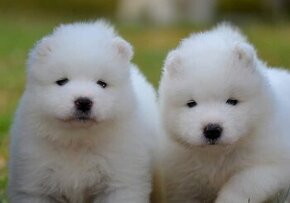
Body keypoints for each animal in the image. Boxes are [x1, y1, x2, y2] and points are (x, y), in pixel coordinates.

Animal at [9, 20, 157, 203]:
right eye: (62, 81)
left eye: (102, 83)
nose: (84, 102)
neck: (77, 142)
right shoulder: (34, 185)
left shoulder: (120, 181)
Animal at [160, 24, 290, 203]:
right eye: (191, 103)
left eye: (232, 101)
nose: (212, 129)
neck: (217, 155)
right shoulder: (183, 181)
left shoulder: (269, 167)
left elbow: (241, 186)